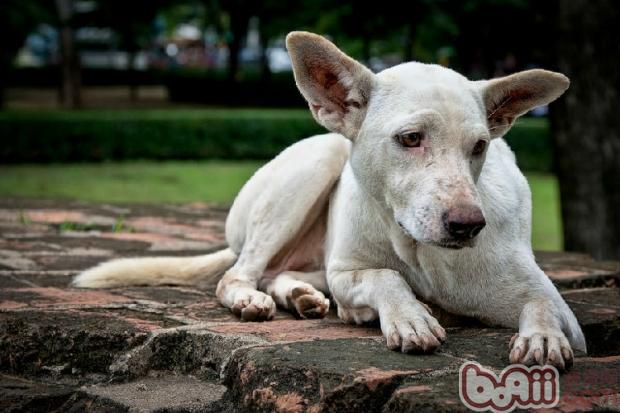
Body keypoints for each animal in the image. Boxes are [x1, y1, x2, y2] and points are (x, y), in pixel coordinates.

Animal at [74, 30, 588, 368]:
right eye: (411, 138)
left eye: (479, 147)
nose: (468, 225)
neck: (422, 254)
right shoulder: (348, 274)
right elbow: (384, 277)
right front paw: (410, 318)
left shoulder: (556, 307)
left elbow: (543, 304)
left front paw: (542, 338)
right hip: (315, 164)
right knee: (237, 274)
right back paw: (253, 299)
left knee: (278, 273)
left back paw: (300, 296)